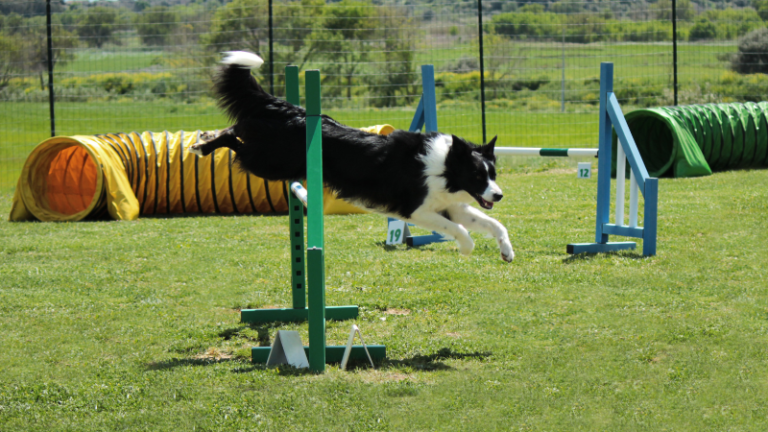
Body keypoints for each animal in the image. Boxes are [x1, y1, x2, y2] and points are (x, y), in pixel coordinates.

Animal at [188, 50, 512, 260]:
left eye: (493, 174)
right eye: (477, 175)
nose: (498, 195)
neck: (443, 167)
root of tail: (292, 110)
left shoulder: (449, 205)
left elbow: (493, 224)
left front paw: (506, 251)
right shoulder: (416, 210)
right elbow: (458, 229)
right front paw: (466, 248)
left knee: (238, 128)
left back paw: (202, 140)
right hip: (269, 162)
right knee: (236, 133)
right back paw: (201, 145)